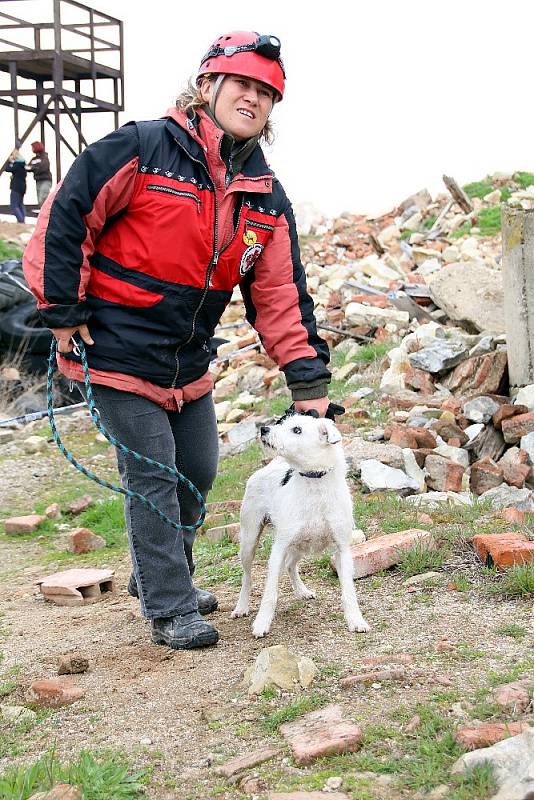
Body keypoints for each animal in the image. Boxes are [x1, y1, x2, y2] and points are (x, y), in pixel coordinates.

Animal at [232, 412, 370, 636]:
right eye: (282, 423)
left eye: (297, 430)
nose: (264, 430)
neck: (314, 482)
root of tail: (271, 465)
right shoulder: (278, 549)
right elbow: (270, 592)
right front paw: (262, 623)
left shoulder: (342, 549)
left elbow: (349, 591)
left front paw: (356, 620)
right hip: (249, 540)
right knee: (247, 576)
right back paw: (242, 606)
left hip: (299, 545)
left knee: (290, 565)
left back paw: (302, 591)